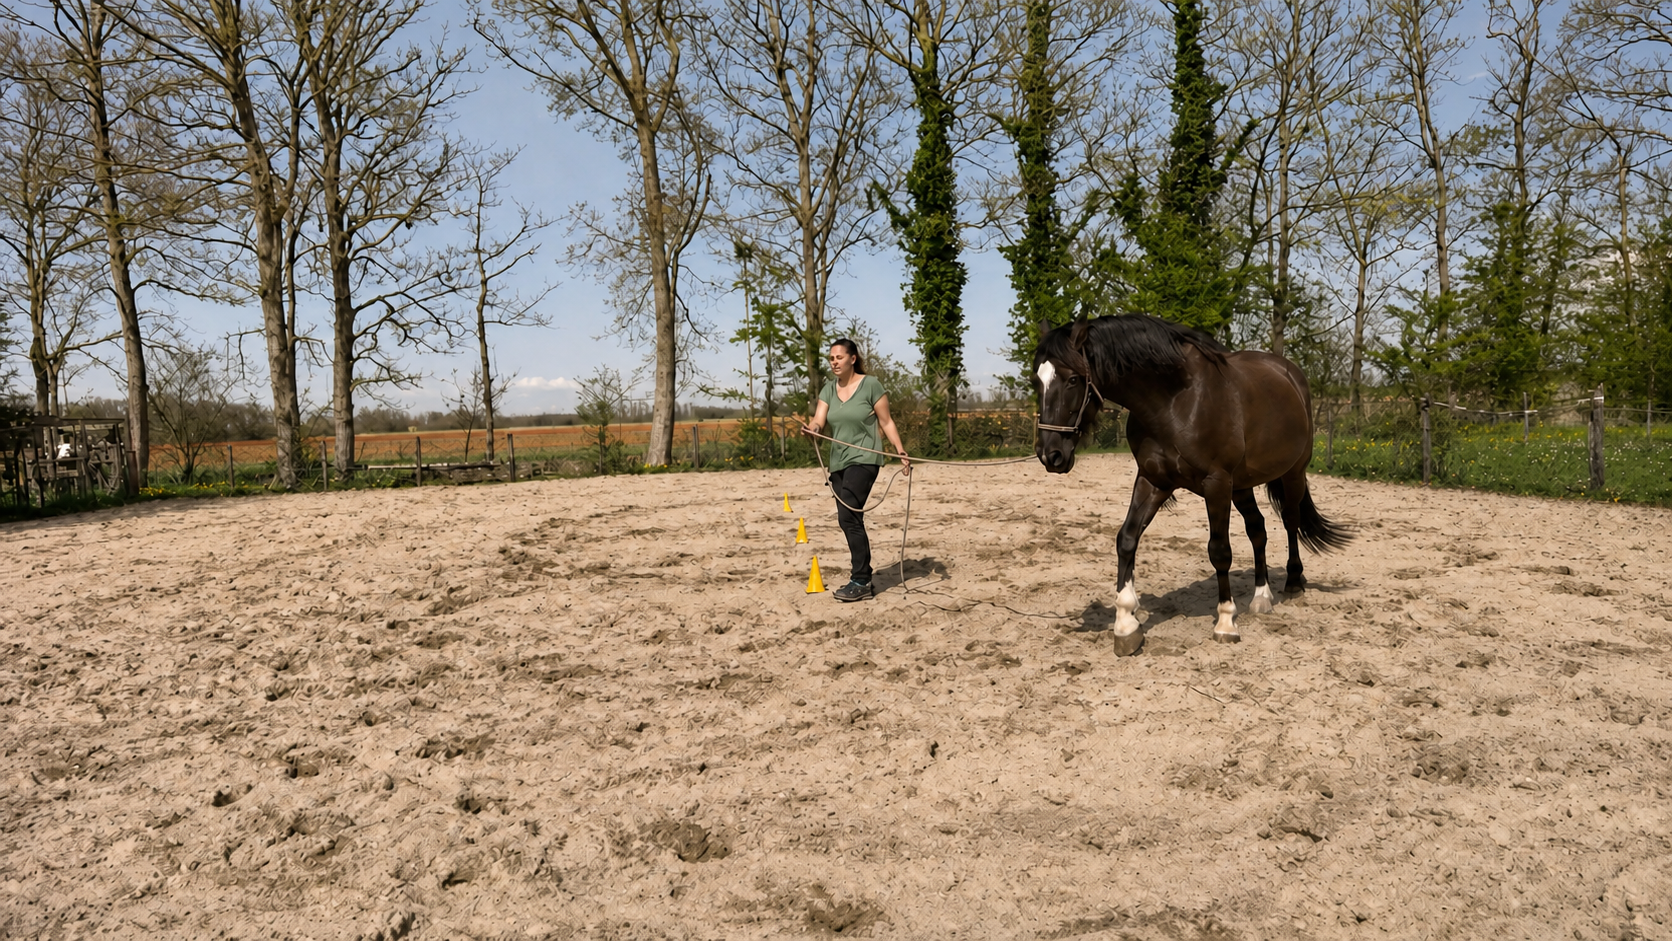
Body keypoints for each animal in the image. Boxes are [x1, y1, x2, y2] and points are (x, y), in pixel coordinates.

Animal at [1034, 314, 1351, 655]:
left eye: (1072, 380)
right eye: (1037, 380)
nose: (1050, 454)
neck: (1175, 402)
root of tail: (1290, 374)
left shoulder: (1216, 483)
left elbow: (1219, 550)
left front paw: (1226, 622)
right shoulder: (1152, 480)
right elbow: (1127, 539)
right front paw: (1126, 625)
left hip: (1291, 472)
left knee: (1291, 521)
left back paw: (1292, 582)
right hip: (1242, 486)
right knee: (1258, 529)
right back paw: (1261, 597)